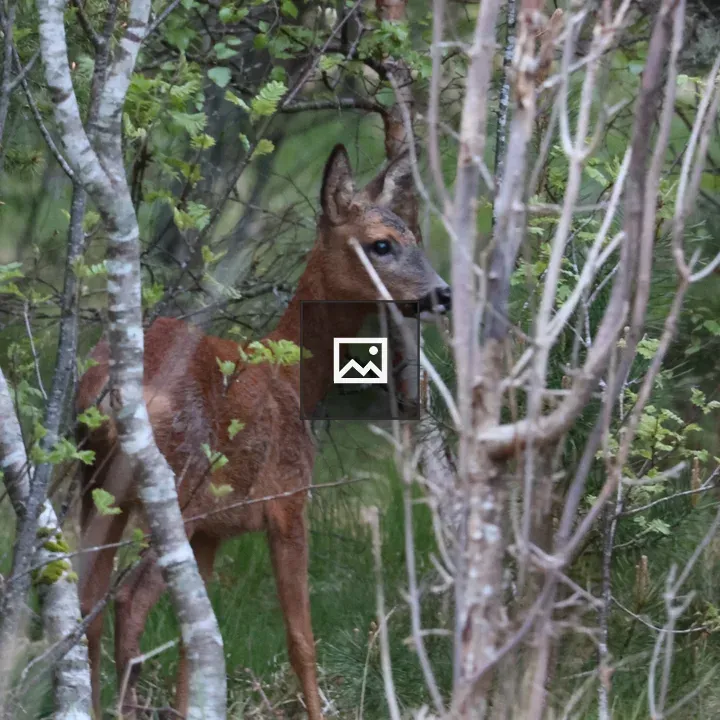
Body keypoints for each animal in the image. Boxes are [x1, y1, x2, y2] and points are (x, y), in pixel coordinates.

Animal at [76, 143, 451, 720]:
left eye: (413, 235)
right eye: (380, 244)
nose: (442, 294)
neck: (293, 380)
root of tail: (105, 388)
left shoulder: (214, 531)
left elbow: (193, 647)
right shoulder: (287, 501)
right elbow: (301, 640)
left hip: (97, 487)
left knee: (85, 600)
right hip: (176, 489)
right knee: (128, 598)